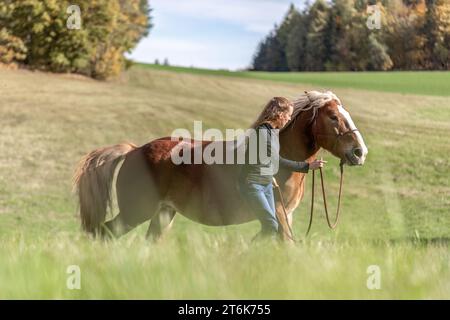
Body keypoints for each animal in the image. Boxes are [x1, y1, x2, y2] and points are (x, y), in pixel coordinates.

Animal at [74, 90, 368, 240]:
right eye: (333, 117)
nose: (359, 152)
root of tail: (134, 150)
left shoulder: (284, 215)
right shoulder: (278, 212)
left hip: (164, 213)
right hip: (137, 211)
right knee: (104, 232)